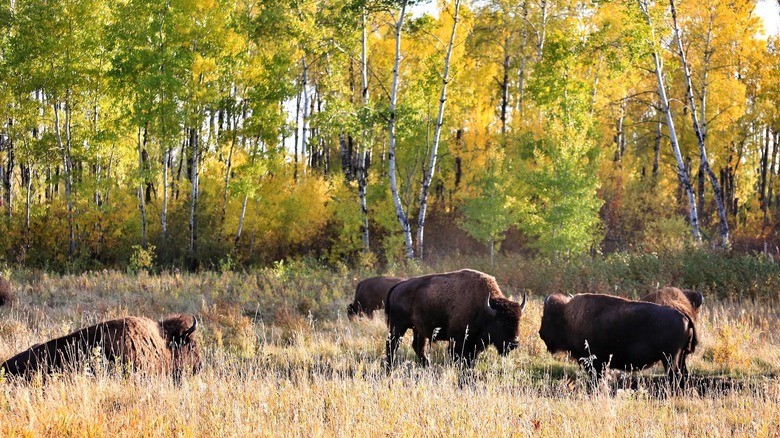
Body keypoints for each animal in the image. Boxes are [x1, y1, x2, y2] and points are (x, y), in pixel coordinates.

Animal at [385, 269, 526, 368]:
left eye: (518, 321)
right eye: (500, 322)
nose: (514, 343)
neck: (484, 307)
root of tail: (398, 286)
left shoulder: (474, 344)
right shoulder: (459, 341)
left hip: (418, 330)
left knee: (418, 347)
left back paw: (427, 366)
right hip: (398, 326)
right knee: (392, 345)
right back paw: (390, 368)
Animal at [538, 293, 697, 386]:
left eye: (546, 318)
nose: (541, 333)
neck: (567, 317)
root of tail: (684, 315)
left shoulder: (595, 363)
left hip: (670, 358)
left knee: (675, 376)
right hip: (681, 357)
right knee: (684, 375)